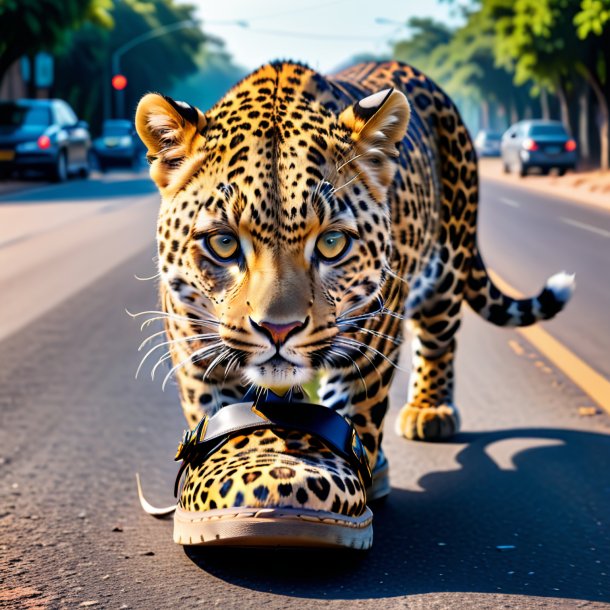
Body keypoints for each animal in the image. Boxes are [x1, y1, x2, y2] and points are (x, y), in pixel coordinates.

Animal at [135, 60, 572, 512]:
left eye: (332, 243)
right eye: (223, 243)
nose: (278, 330)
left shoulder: (370, 343)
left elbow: (351, 413)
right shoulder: (197, 346)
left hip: (448, 265)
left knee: (439, 338)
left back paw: (429, 411)